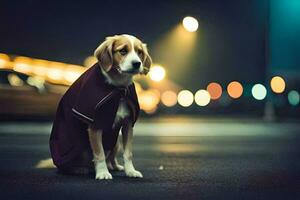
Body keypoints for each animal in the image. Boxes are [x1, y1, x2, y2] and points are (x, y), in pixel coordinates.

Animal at [50, 34, 152, 180]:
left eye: (140, 52)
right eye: (123, 51)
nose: (137, 63)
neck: (118, 89)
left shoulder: (128, 125)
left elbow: (128, 153)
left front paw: (130, 171)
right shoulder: (95, 126)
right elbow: (99, 154)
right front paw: (103, 173)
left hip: (116, 141)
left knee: (111, 157)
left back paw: (114, 166)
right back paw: (79, 169)